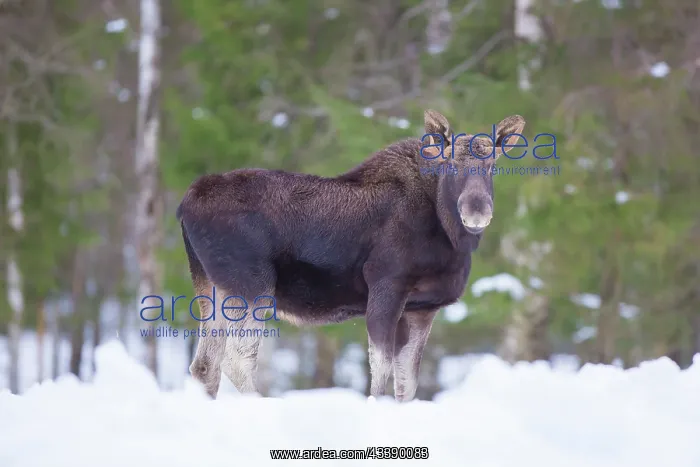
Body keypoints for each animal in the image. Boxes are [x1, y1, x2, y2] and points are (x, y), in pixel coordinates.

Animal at [176, 109, 525, 401]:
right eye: (451, 164)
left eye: (492, 165)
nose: (477, 212)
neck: (448, 237)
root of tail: (185, 204)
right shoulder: (387, 285)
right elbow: (381, 371)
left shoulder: (422, 308)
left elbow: (406, 383)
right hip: (252, 284)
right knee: (236, 359)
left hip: (211, 286)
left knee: (204, 365)